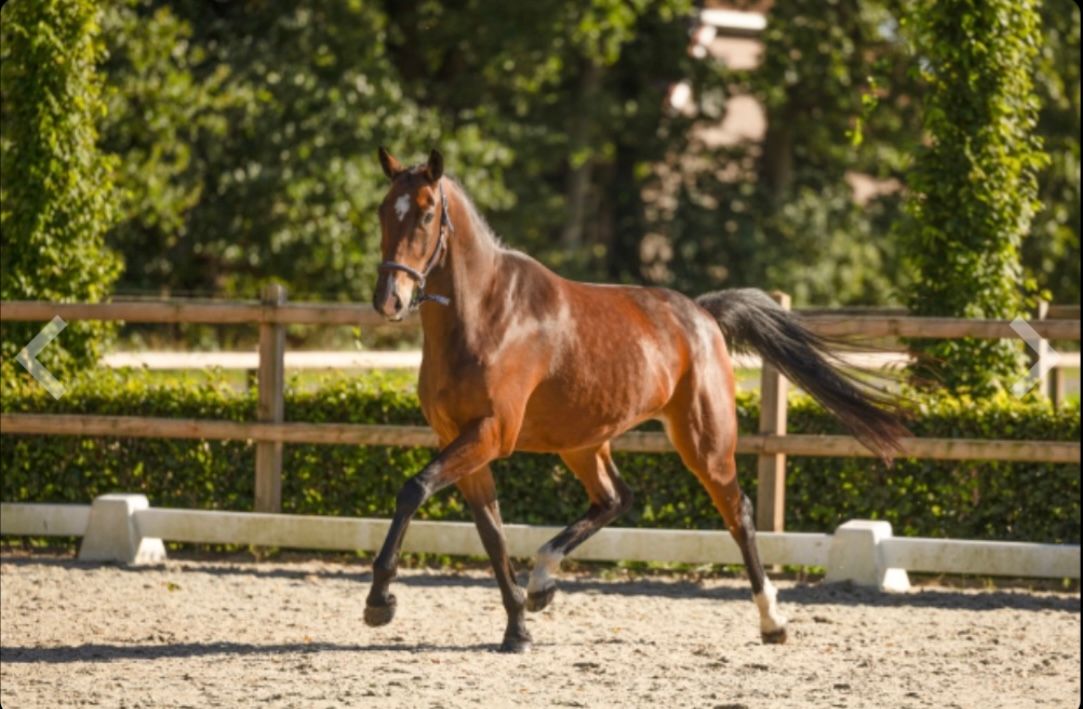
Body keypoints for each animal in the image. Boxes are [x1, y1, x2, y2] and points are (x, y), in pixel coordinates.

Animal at [364, 147, 906, 652]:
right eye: (383, 210)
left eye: (427, 213)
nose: (389, 300)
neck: (484, 315)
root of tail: (702, 314)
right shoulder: (460, 440)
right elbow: (492, 535)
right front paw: (517, 628)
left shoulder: (490, 434)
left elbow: (413, 489)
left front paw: (380, 601)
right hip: (581, 442)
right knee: (615, 498)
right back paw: (542, 583)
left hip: (704, 443)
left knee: (738, 514)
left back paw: (772, 621)